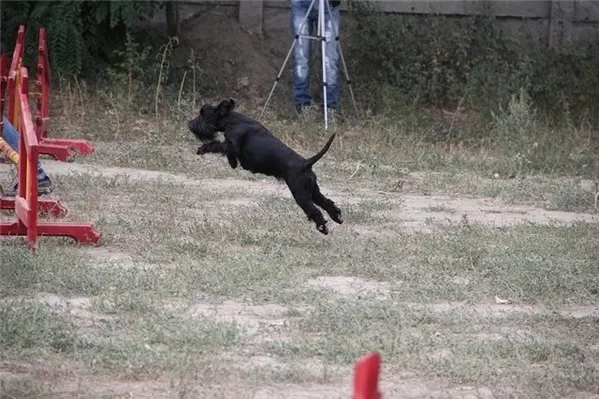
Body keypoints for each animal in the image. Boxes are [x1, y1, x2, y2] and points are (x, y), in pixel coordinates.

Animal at [190, 100, 344, 236]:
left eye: (203, 115)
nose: (190, 123)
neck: (232, 120)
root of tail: (306, 163)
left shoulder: (232, 145)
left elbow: (218, 145)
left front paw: (203, 149)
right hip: (312, 191)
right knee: (327, 203)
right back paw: (337, 218)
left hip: (301, 194)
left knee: (315, 211)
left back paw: (323, 228)